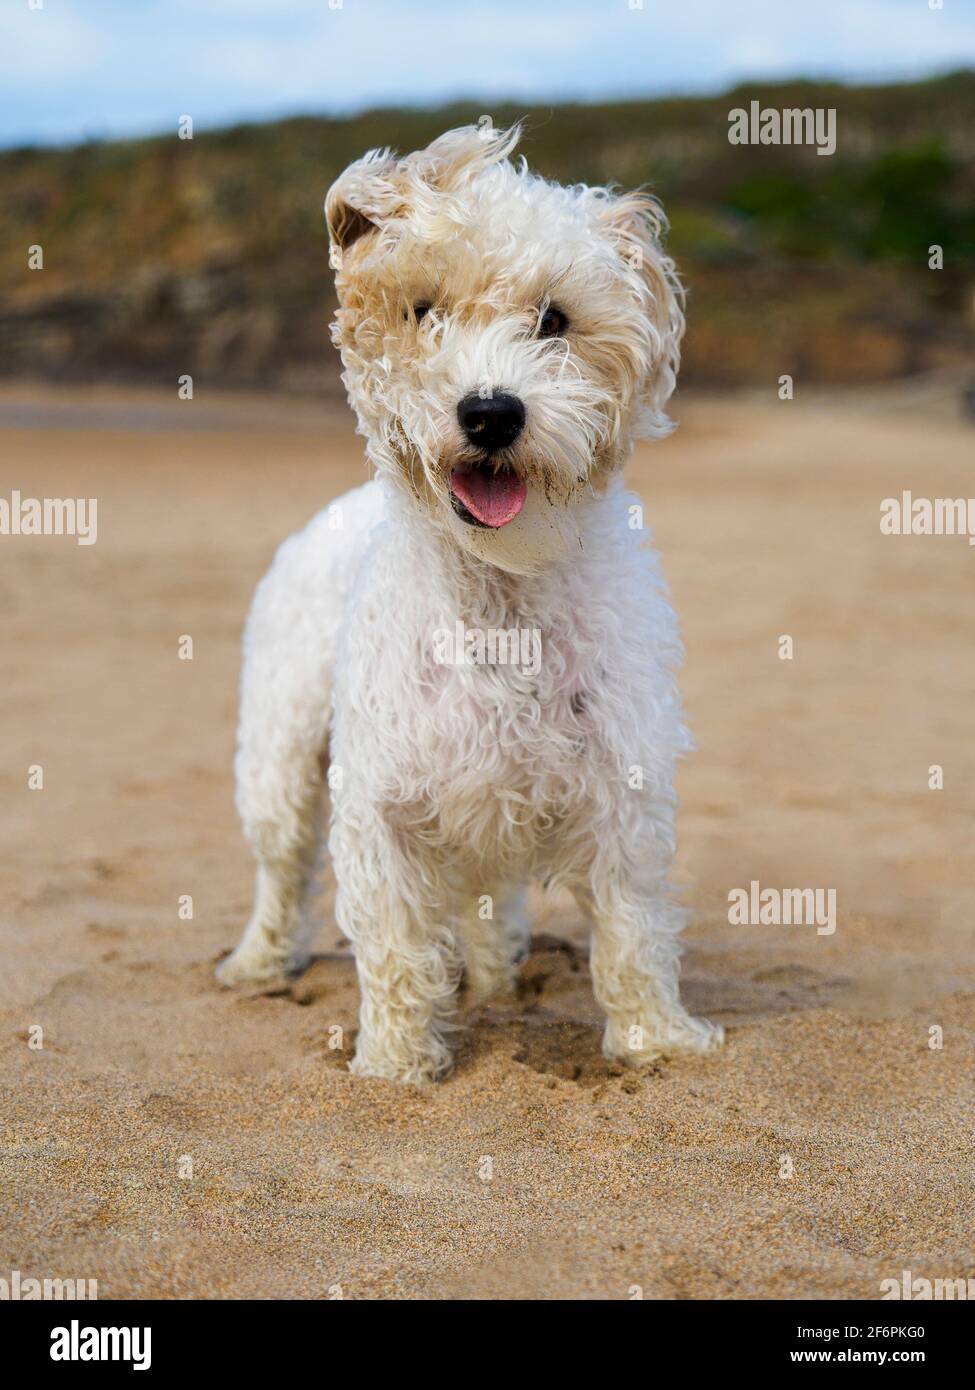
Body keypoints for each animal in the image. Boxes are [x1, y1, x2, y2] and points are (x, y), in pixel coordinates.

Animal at [218, 122, 723, 1084]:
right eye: (423, 312)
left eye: (554, 319)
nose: (491, 413)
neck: (501, 598)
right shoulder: (378, 810)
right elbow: (392, 950)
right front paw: (394, 1067)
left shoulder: (623, 797)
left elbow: (633, 935)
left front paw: (657, 1042)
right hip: (278, 757)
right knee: (279, 870)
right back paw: (260, 962)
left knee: (495, 893)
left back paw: (495, 979)